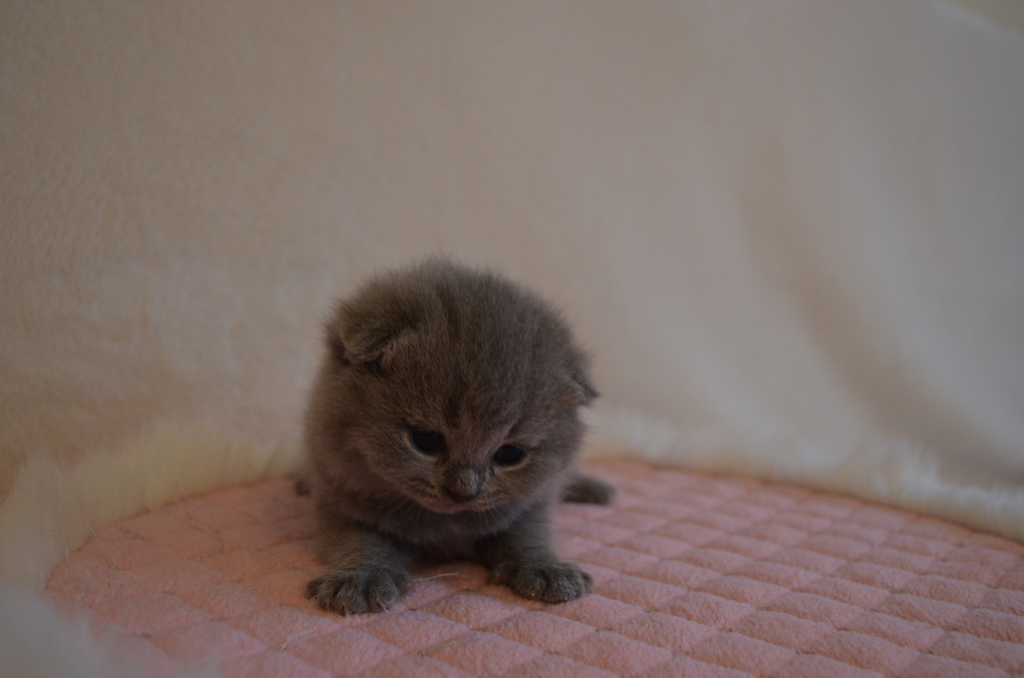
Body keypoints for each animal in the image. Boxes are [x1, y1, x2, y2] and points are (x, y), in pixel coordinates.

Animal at [301, 258, 614, 614]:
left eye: (510, 454)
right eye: (425, 439)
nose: (464, 492)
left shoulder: (532, 502)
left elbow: (529, 535)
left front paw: (546, 568)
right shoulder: (340, 498)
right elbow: (360, 541)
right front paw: (361, 578)